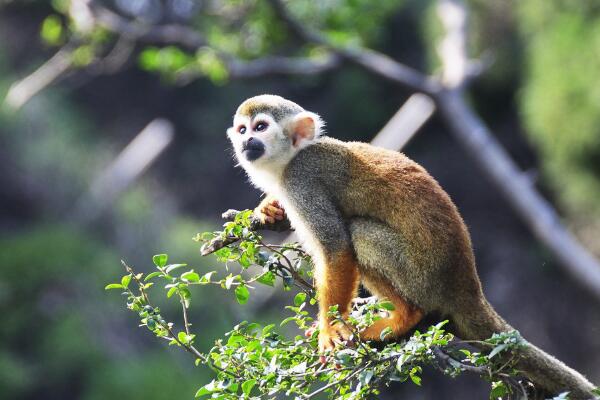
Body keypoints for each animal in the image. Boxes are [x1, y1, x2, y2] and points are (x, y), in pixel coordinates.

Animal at [227, 94, 596, 396]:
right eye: (243, 130)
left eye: (261, 127)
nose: (248, 142)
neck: (292, 157)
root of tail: (468, 286)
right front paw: (270, 208)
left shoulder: (302, 181)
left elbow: (337, 250)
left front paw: (331, 330)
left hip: (422, 276)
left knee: (360, 233)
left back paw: (404, 317)